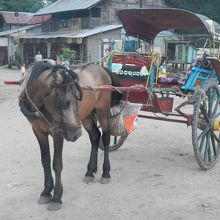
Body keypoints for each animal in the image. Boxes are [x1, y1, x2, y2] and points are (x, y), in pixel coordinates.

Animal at [18, 59, 118, 210]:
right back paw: (90, 171)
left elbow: (57, 163)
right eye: (63, 101)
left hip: (102, 110)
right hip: (86, 116)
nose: (75, 134)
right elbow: (45, 161)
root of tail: (100, 68)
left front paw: (56, 197)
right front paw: (46, 191)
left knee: (105, 138)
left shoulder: (58, 132)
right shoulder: (38, 131)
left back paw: (106, 173)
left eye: (78, 97)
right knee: (95, 136)